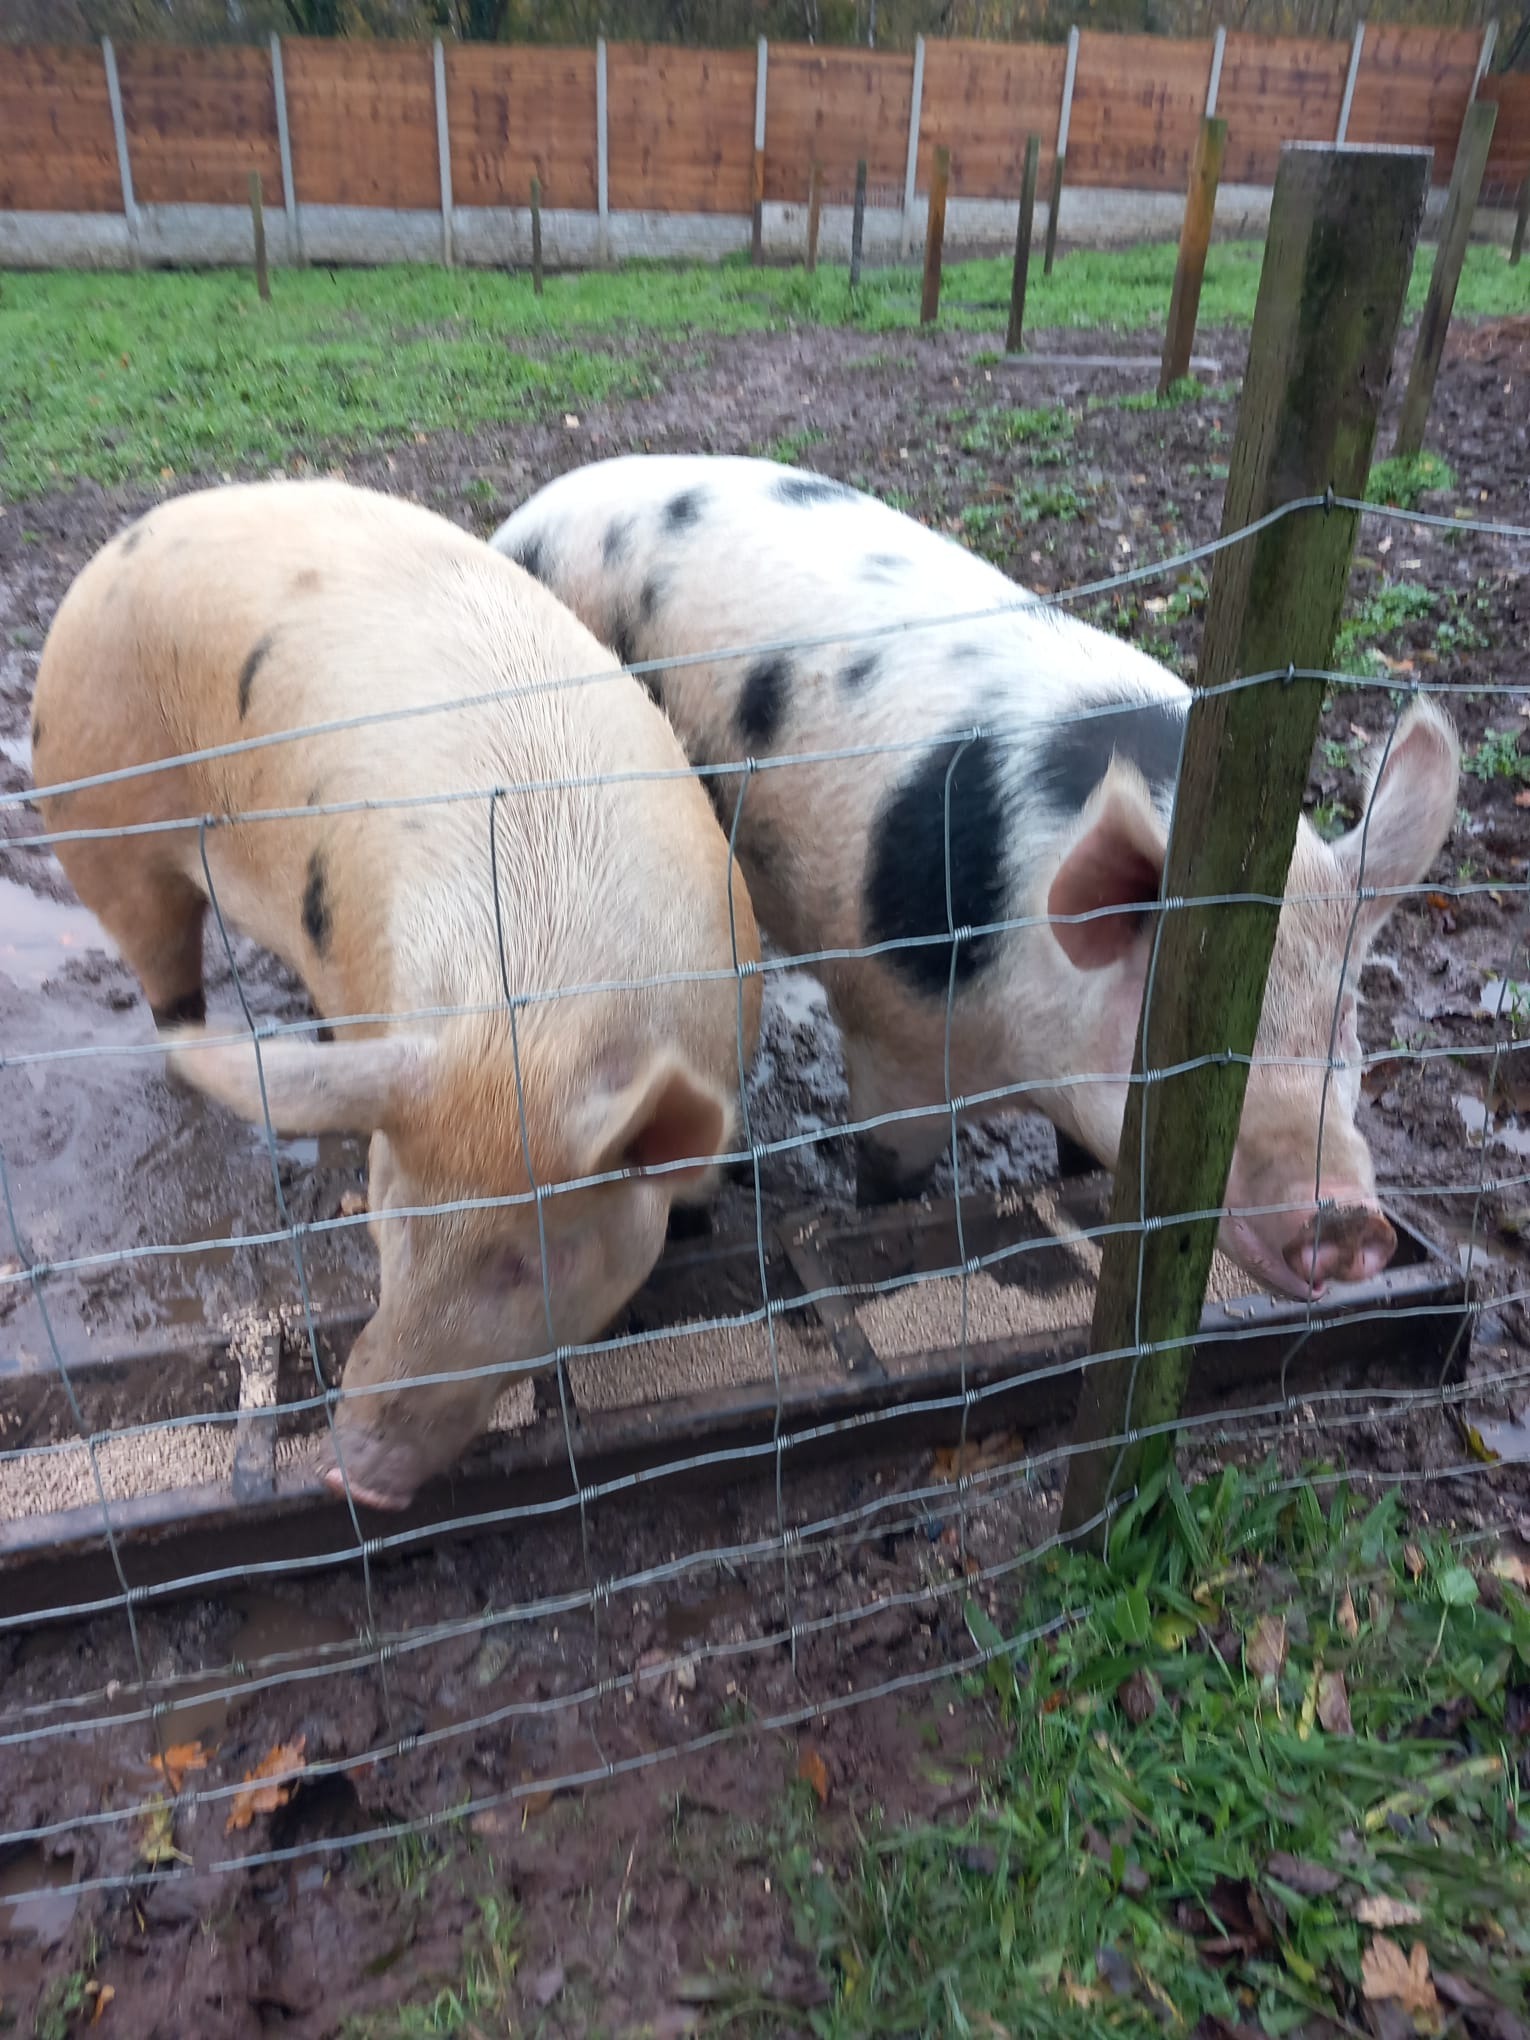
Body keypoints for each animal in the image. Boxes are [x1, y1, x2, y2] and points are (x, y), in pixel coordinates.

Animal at [31, 477, 762, 1510]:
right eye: (393, 1218)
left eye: (534, 1256)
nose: (354, 1474)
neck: (533, 1027)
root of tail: (125, 544)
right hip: (96, 820)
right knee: (166, 980)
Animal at [491, 454, 1460, 1301]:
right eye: (1174, 1041)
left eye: (1347, 1022)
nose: (1350, 1222)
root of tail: (534, 508)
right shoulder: (894, 1029)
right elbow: (890, 1172)